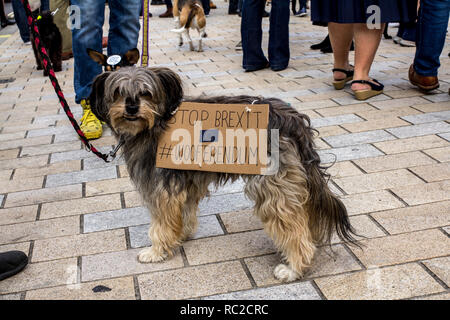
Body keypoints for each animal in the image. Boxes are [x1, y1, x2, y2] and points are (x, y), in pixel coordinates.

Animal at [89, 66, 358, 282]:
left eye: (145, 93)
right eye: (118, 92)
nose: (131, 107)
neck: (155, 123)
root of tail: (291, 119)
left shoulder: (160, 189)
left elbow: (161, 224)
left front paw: (157, 251)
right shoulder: (186, 183)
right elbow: (184, 212)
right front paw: (181, 235)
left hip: (273, 189)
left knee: (293, 229)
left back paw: (294, 268)